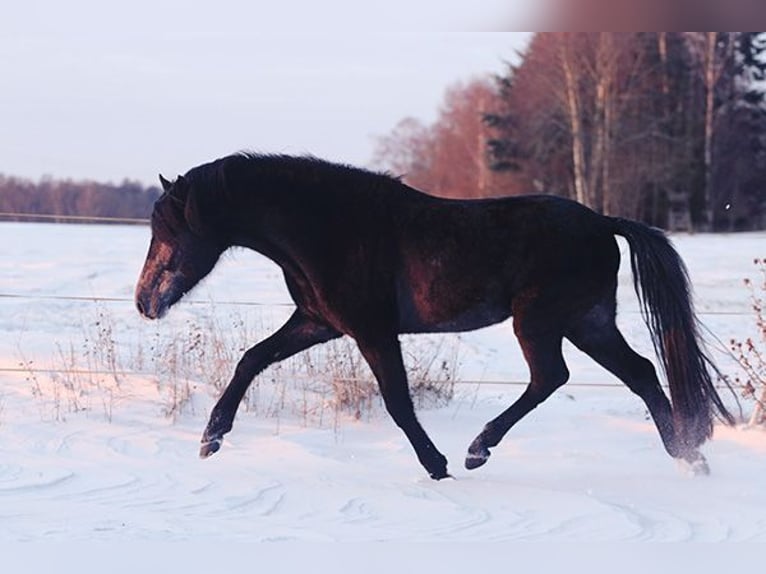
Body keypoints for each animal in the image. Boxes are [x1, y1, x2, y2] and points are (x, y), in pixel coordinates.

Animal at [135, 152, 734, 479]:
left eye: (169, 231)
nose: (144, 301)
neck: (326, 228)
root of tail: (604, 222)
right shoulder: (318, 322)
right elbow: (251, 360)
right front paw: (211, 438)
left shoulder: (372, 331)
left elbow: (399, 403)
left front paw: (436, 465)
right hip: (589, 322)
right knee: (641, 374)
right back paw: (690, 459)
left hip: (541, 320)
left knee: (551, 377)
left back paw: (477, 450)